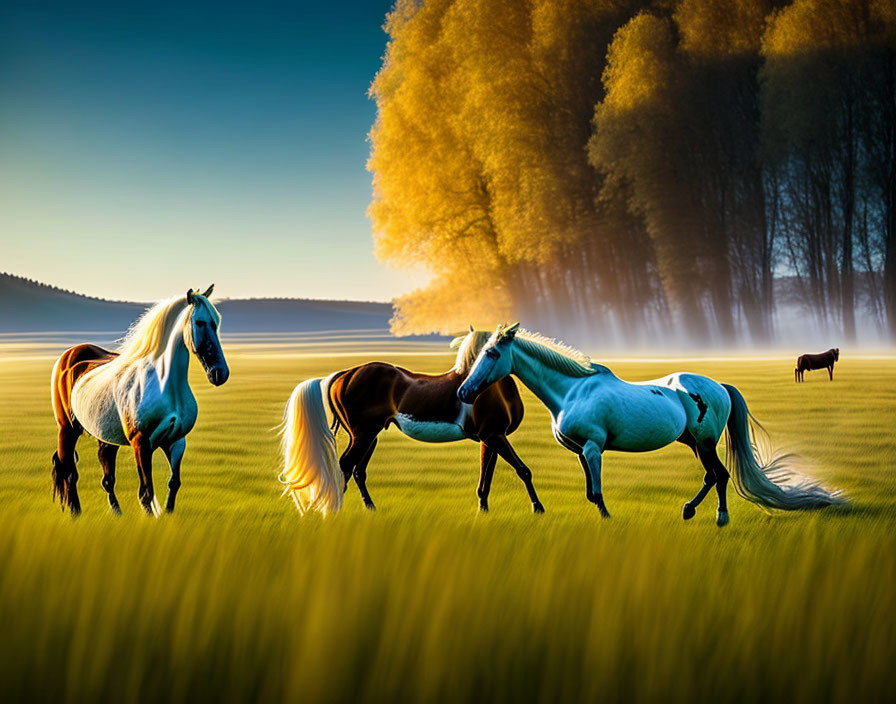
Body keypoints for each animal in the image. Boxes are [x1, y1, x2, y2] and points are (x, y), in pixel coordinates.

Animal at [50, 286, 228, 516]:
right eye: (200, 322)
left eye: (216, 322)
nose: (220, 373)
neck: (165, 385)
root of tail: (69, 356)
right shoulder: (141, 443)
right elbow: (146, 493)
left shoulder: (176, 442)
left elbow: (173, 484)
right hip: (67, 429)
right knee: (68, 471)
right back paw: (76, 514)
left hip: (106, 438)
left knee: (107, 479)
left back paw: (116, 514)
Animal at [280, 328, 544, 516]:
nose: (466, 393)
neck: (493, 387)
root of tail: (345, 374)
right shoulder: (495, 436)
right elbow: (523, 470)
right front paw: (538, 509)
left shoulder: (489, 439)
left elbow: (485, 479)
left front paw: (484, 511)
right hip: (363, 434)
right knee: (345, 466)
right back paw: (335, 511)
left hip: (370, 435)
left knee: (357, 470)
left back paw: (370, 509)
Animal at [462, 324, 848, 524]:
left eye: (492, 353)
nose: (465, 391)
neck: (573, 390)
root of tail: (719, 386)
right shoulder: (581, 452)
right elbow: (589, 491)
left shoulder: (593, 448)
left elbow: (596, 492)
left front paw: (607, 518)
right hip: (693, 442)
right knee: (713, 476)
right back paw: (690, 510)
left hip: (705, 442)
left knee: (720, 475)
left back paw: (717, 517)